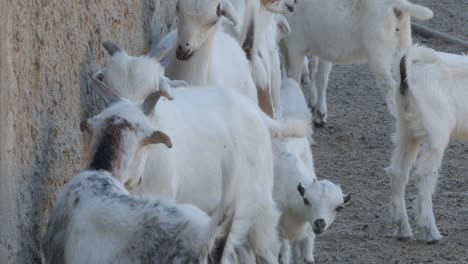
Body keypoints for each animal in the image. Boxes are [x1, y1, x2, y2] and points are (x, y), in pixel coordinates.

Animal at [280, 0, 434, 127]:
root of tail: (398, 6)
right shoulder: (324, 49)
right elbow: (321, 79)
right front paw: (319, 114)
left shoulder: (294, 46)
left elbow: (292, 78)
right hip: (404, 47)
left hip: (379, 54)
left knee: (390, 86)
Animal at [386, 45, 468, 243]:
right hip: (436, 136)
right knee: (424, 176)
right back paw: (431, 231)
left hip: (406, 130)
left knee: (398, 172)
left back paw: (403, 228)